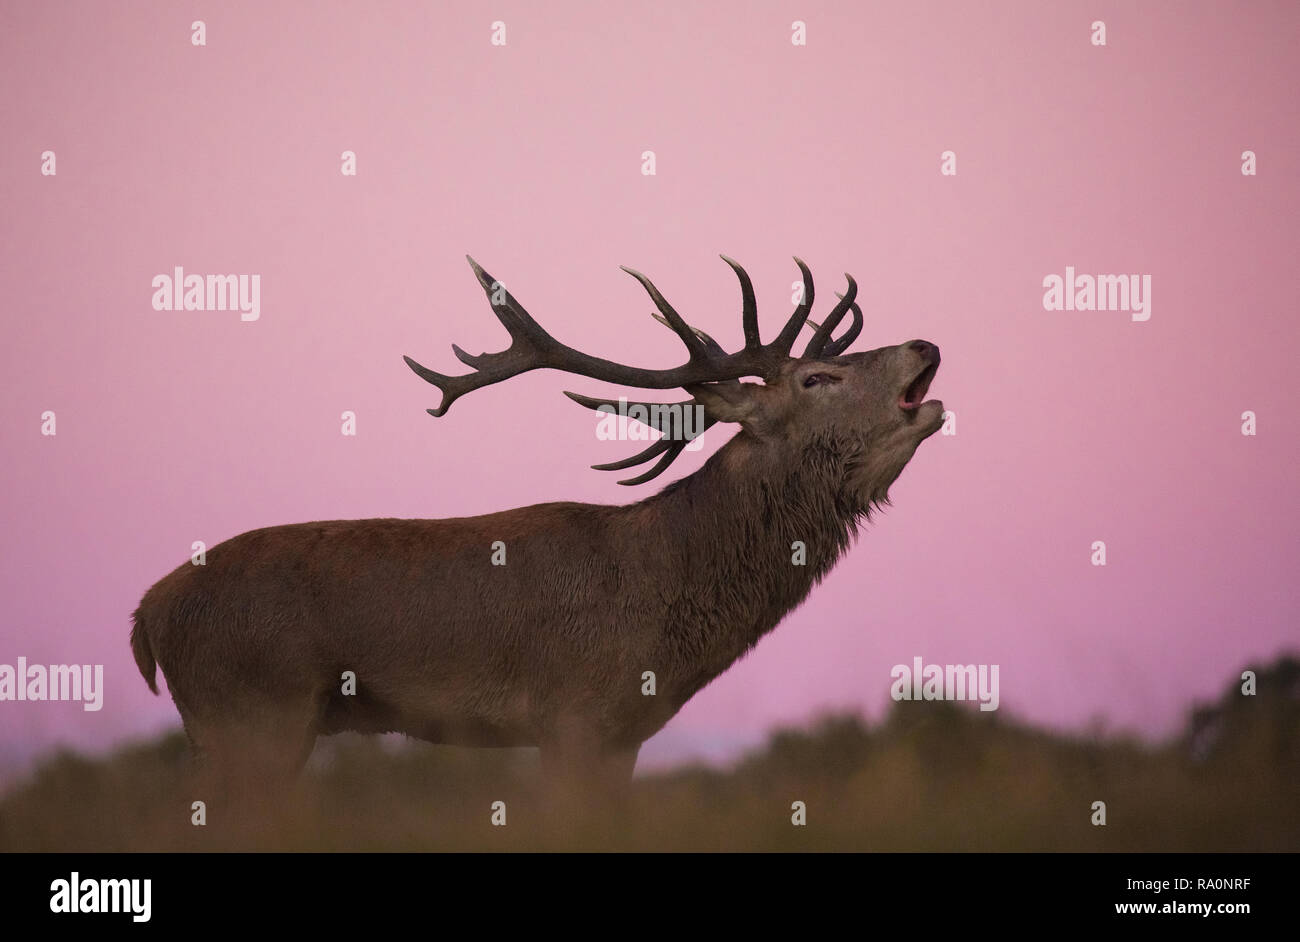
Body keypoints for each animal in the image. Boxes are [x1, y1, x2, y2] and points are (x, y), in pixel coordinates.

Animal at [131, 255, 946, 810]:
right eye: (816, 378)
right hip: (251, 711)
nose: (925, 346)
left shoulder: (623, 737)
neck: (662, 610)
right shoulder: (574, 716)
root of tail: (147, 615)